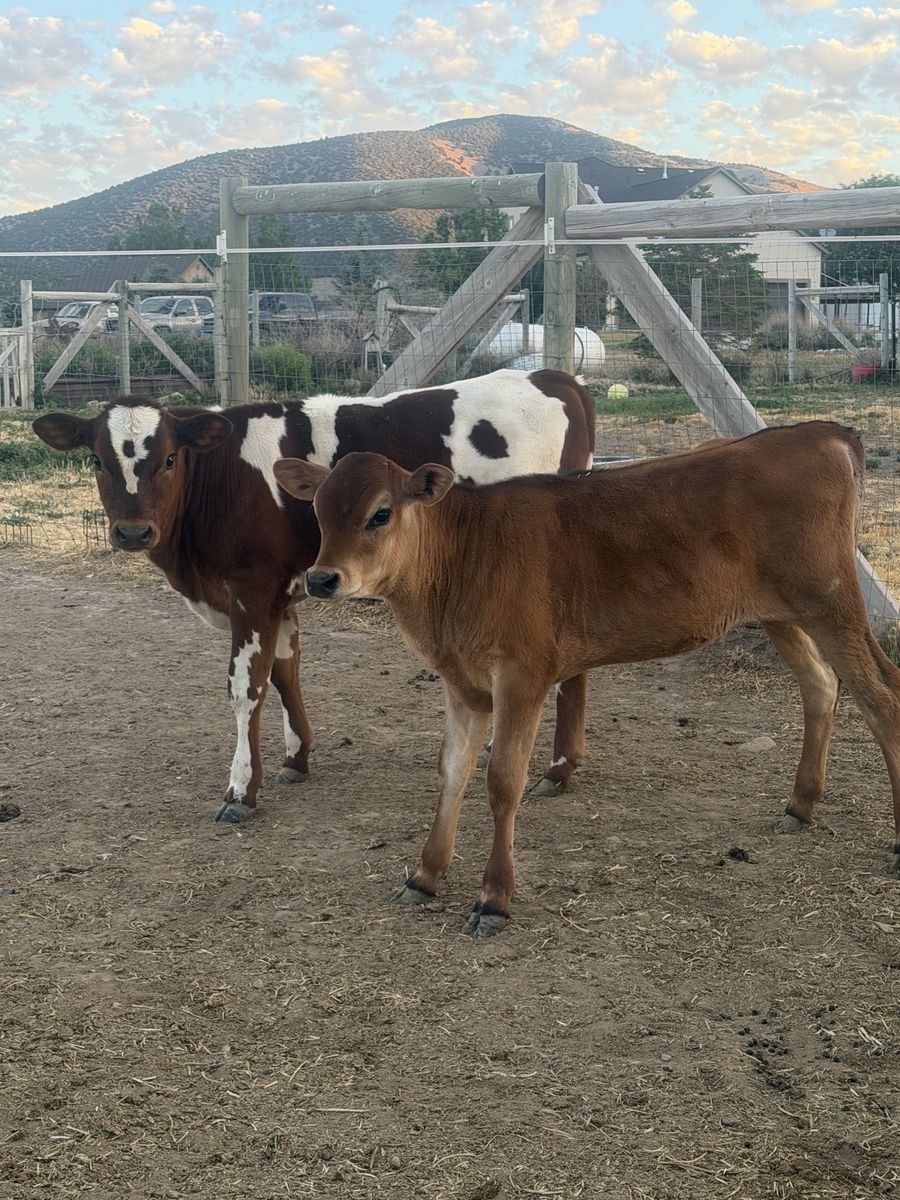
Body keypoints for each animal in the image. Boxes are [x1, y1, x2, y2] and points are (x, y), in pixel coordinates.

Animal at [32, 369, 595, 824]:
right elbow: (285, 673)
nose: (132, 532)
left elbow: (247, 687)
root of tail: (551, 377)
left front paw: (241, 790)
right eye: (96, 461)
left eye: (170, 458)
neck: (224, 476)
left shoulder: (253, 589)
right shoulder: (280, 596)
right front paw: (295, 759)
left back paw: (557, 769)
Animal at [273, 422, 900, 938]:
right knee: (821, 685)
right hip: (778, 612)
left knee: (881, 699)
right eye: (319, 511)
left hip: (831, 601)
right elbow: (451, 772)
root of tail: (822, 433)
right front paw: (424, 875)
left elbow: (502, 781)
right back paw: (801, 805)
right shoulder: (461, 681)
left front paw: (494, 899)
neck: (462, 562)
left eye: (381, 513)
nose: (322, 578)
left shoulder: (523, 674)